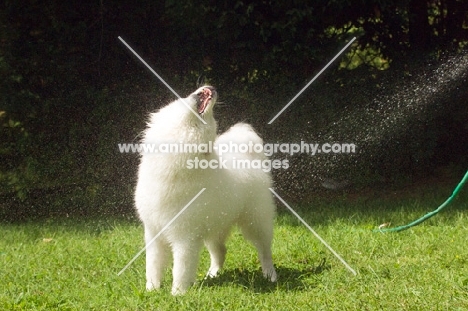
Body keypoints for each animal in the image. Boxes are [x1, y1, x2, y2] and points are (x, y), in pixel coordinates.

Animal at [133, 85, 276, 294]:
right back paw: (212, 275)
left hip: (256, 222)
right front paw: (152, 289)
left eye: (211, 119)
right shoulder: (153, 232)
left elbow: (181, 268)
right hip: (214, 228)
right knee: (220, 252)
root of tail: (249, 156)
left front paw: (177, 293)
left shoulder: (185, 237)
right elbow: (152, 265)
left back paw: (270, 275)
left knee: (265, 251)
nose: (211, 87)